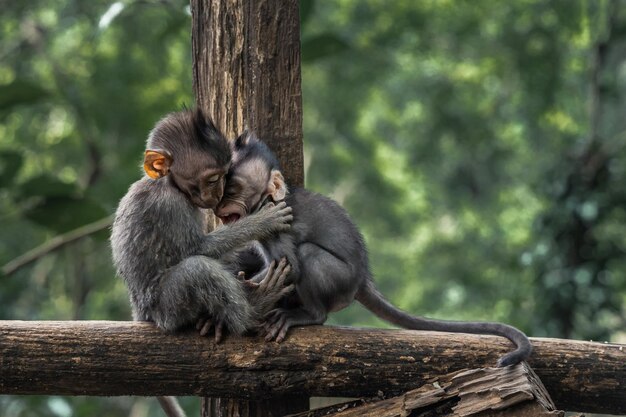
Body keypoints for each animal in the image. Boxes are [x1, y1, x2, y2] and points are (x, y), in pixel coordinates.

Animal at [216, 132, 532, 364]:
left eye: (233, 189)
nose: (219, 205)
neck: (269, 203)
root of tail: (362, 280)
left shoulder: (277, 224)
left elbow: (289, 265)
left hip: (341, 282)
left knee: (309, 256)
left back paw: (308, 314)